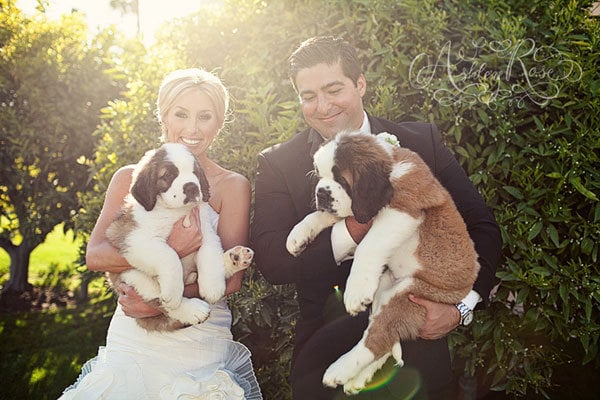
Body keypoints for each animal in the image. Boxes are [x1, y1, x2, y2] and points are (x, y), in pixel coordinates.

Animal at [105, 143, 251, 332]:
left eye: (195, 172)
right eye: (168, 175)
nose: (191, 187)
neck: (175, 211)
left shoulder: (206, 232)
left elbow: (209, 253)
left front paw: (212, 286)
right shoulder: (133, 238)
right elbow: (169, 255)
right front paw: (175, 292)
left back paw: (236, 258)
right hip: (130, 277)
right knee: (159, 302)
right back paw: (192, 310)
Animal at [284, 130, 478, 394]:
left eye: (341, 179)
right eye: (319, 176)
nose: (320, 193)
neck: (390, 168)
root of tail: (464, 288)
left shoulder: (402, 210)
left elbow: (369, 245)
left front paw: (355, 291)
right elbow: (324, 217)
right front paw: (298, 235)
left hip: (412, 294)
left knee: (377, 337)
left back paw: (340, 370)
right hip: (383, 289)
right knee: (384, 337)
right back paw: (358, 379)